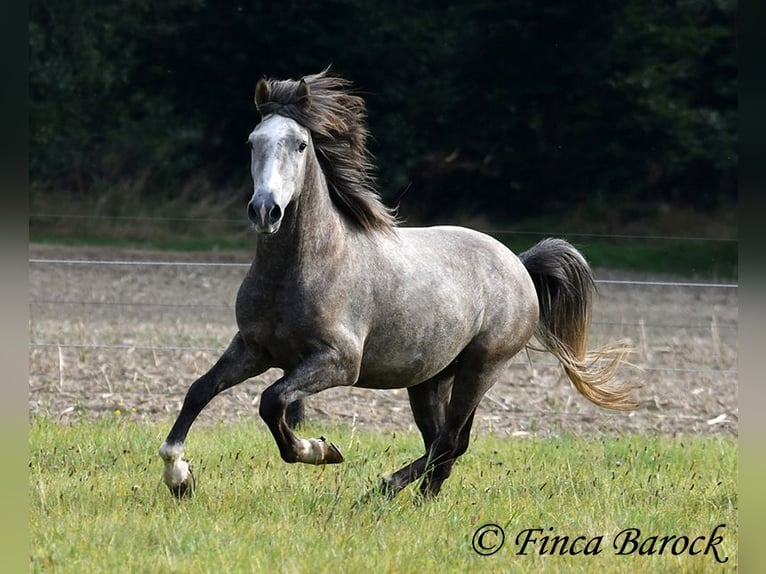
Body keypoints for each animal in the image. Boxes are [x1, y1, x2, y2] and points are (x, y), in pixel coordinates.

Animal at [158, 67, 636, 502]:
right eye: (252, 142)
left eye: (300, 144)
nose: (265, 211)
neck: (303, 268)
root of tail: (518, 264)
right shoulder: (253, 348)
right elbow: (199, 390)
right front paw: (179, 475)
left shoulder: (337, 362)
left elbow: (272, 401)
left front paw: (321, 450)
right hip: (430, 378)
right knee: (445, 441)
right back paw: (415, 497)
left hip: (482, 367)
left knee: (450, 440)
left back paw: (383, 489)